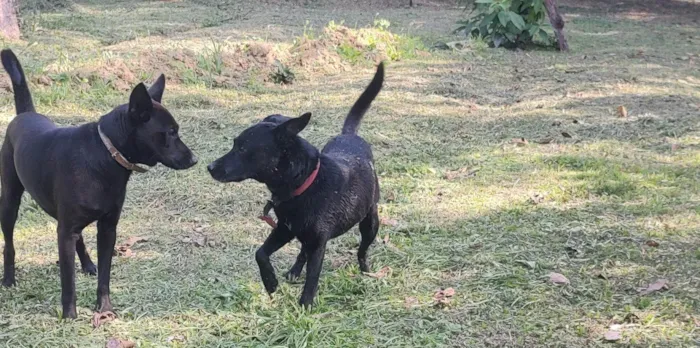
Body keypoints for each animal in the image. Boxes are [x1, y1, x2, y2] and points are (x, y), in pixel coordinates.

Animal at [0, 49, 197, 318]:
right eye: (171, 132)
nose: (194, 159)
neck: (104, 154)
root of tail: (24, 115)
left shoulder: (107, 228)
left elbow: (105, 276)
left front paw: (105, 309)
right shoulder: (66, 230)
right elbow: (68, 281)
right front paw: (70, 316)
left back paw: (87, 264)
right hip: (10, 201)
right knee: (9, 243)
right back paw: (9, 279)